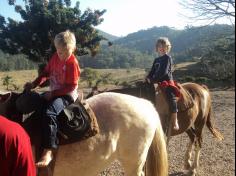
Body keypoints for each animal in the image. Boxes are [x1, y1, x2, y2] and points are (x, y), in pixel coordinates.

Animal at [87, 82, 224, 175]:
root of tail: (202, 88)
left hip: (200, 122)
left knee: (199, 141)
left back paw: (194, 167)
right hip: (188, 125)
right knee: (193, 137)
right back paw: (187, 163)